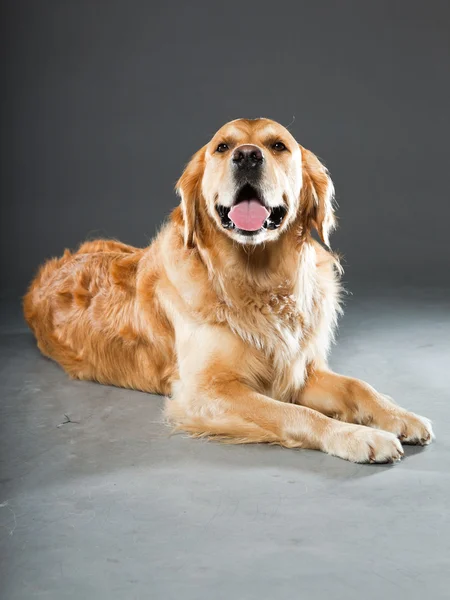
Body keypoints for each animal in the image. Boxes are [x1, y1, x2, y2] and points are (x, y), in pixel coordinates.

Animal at [22, 118, 434, 464]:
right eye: (222, 147)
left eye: (278, 145)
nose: (248, 155)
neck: (259, 280)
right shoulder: (206, 392)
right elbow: (295, 413)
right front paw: (358, 437)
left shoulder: (300, 369)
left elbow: (358, 387)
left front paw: (400, 416)